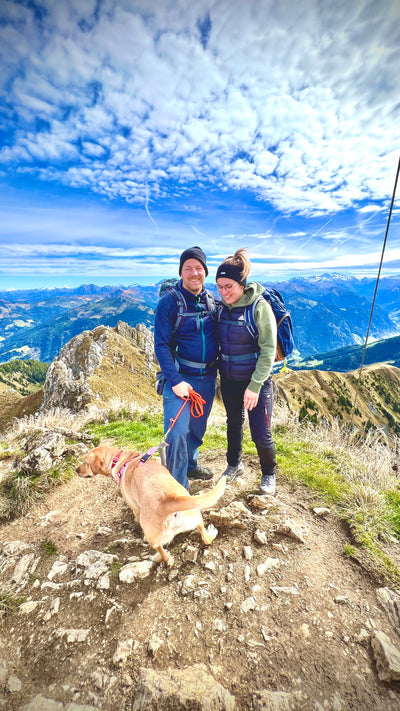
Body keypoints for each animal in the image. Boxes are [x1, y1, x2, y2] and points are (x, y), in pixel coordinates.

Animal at [75, 444, 225, 568]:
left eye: (86, 462)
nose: (76, 470)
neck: (120, 460)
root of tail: (168, 501)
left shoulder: (135, 506)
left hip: (152, 538)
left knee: (163, 552)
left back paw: (162, 558)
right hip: (195, 516)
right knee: (205, 536)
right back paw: (211, 533)